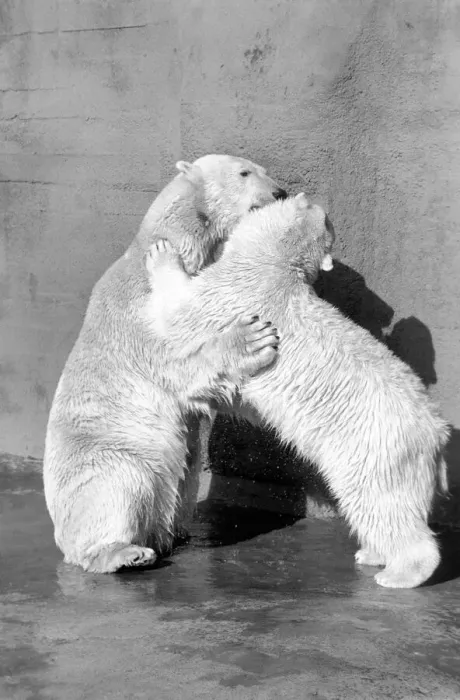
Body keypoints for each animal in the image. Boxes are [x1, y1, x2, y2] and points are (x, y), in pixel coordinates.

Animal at [43, 154, 287, 573]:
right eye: (244, 172)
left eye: (263, 170)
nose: (280, 192)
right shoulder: (143, 307)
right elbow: (180, 365)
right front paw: (252, 337)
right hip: (104, 458)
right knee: (121, 483)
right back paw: (126, 552)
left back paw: (175, 534)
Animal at [144, 192, 450, 589]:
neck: (274, 264)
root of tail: (437, 431)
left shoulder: (230, 294)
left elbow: (180, 310)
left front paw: (162, 254)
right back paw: (372, 554)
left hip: (376, 447)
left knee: (381, 504)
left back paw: (399, 573)